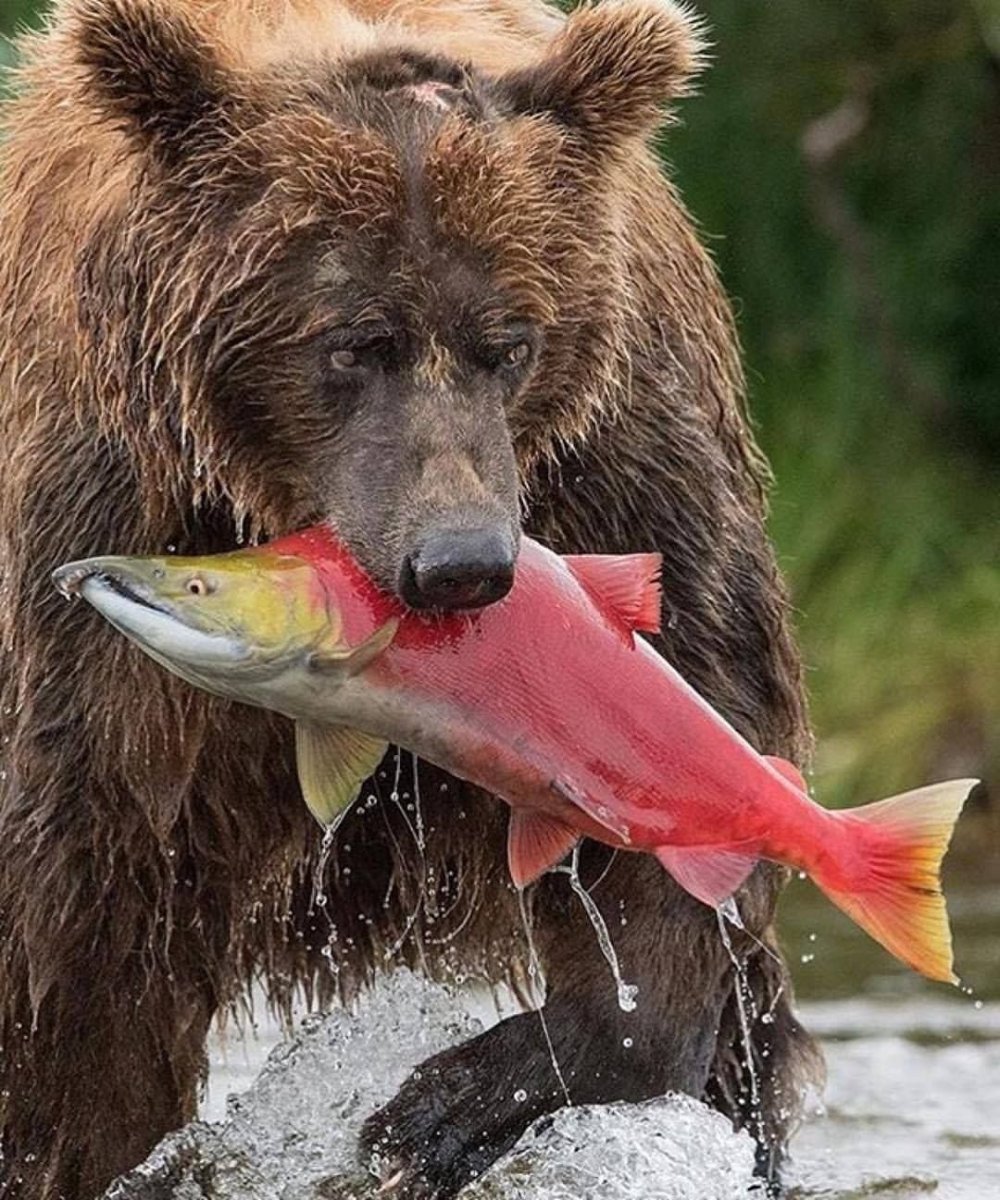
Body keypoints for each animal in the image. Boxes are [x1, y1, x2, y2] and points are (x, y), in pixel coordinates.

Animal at [0, 1, 823, 1197]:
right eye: (354, 342)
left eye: (509, 342)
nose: (461, 561)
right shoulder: (95, 516)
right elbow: (80, 918)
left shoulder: (622, 467)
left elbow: (694, 771)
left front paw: (447, 1104)